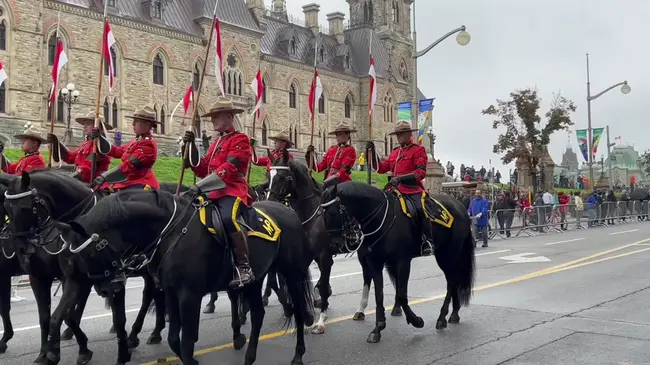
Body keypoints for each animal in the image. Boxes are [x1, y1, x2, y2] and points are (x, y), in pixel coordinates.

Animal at [54, 178, 312, 364]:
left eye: (90, 253)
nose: (109, 289)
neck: (171, 232)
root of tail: (288, 211)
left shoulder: (190, 296)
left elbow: (187, 343)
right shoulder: (171, 293)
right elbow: (173, 339)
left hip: (292, 273)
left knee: (299, 310)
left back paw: (298, 354)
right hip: (255, 279)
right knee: (258, 314)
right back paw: (249, 357)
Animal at [320, 183, 476, 342]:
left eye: (333, 213)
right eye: (322, 214)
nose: (335, 245)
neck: (382, 218)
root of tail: (460, 206)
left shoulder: (402, 261)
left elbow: (401, 295)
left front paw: (416, 321)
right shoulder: (375, 263)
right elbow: (379, 295)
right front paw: (378, 328)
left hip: (448, 254)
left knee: (452, 281)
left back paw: (443, 317)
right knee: (454, 280)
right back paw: (453, 314)